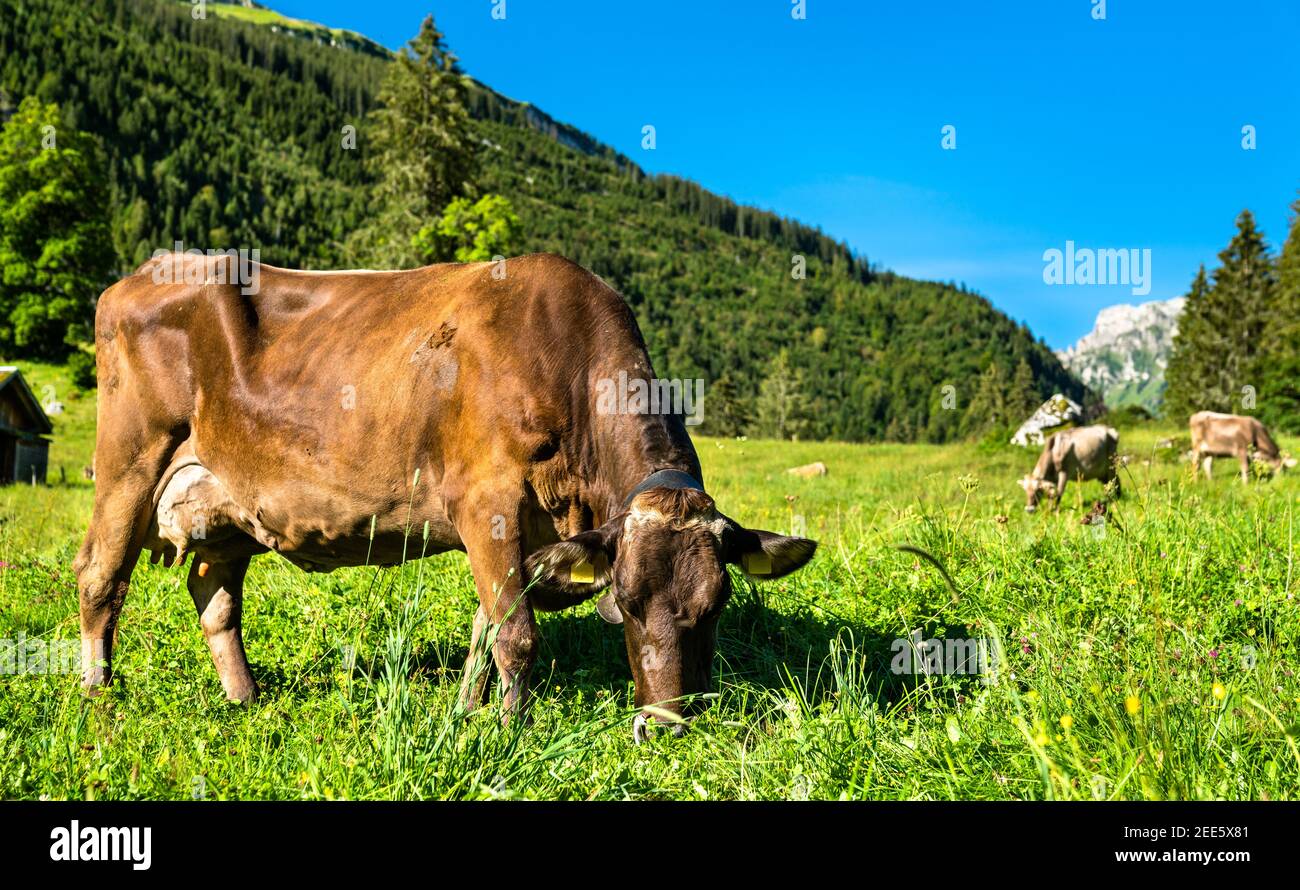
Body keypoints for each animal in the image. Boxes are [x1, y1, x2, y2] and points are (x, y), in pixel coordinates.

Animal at [74, 252, 817, 741]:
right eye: (626, 604)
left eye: (715, 606)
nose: (664, 727)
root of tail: (153, 267)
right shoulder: (485, 501)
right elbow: (516, 633)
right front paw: (512, 732)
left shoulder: (524, 534)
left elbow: (486, 627)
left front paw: (468, 711)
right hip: (130, 460)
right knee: (100, 576)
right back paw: (97, 696)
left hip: (225, 501)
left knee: (214, 594)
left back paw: (245, 698)